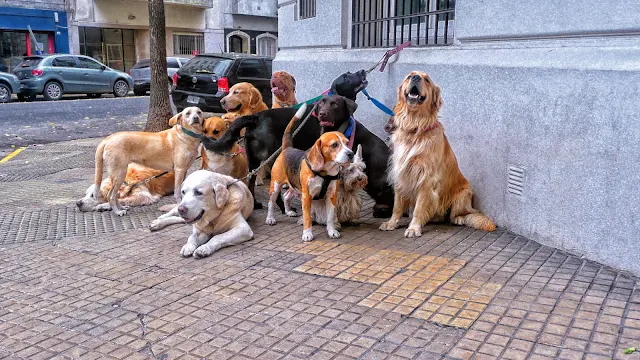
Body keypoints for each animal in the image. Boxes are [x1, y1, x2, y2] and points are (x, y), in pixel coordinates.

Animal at [264, 104, 356, 242]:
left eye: (346, 143)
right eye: (334, 145)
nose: (351, 154)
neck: (324, 173)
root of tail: (287, 148)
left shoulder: (331, 196)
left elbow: (330, 217)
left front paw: (331, 231)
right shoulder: (307, 196)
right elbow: (307, 217)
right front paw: (307, 234)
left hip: (295, 186)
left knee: (286, 196)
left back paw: (288, 211)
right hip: (275, 186)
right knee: (271, 202)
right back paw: (270, 218)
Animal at [380, 71, 496, 238]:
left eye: (427, 80)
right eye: (409, 76)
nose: (416, 77)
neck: (414, 126)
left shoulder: (426, 178)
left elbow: (419, 208)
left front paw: (414, 228)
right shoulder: (401, 173)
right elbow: (397, 206)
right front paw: (391, 223)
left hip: (464, 194)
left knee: (459, 214)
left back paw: (458, 218)